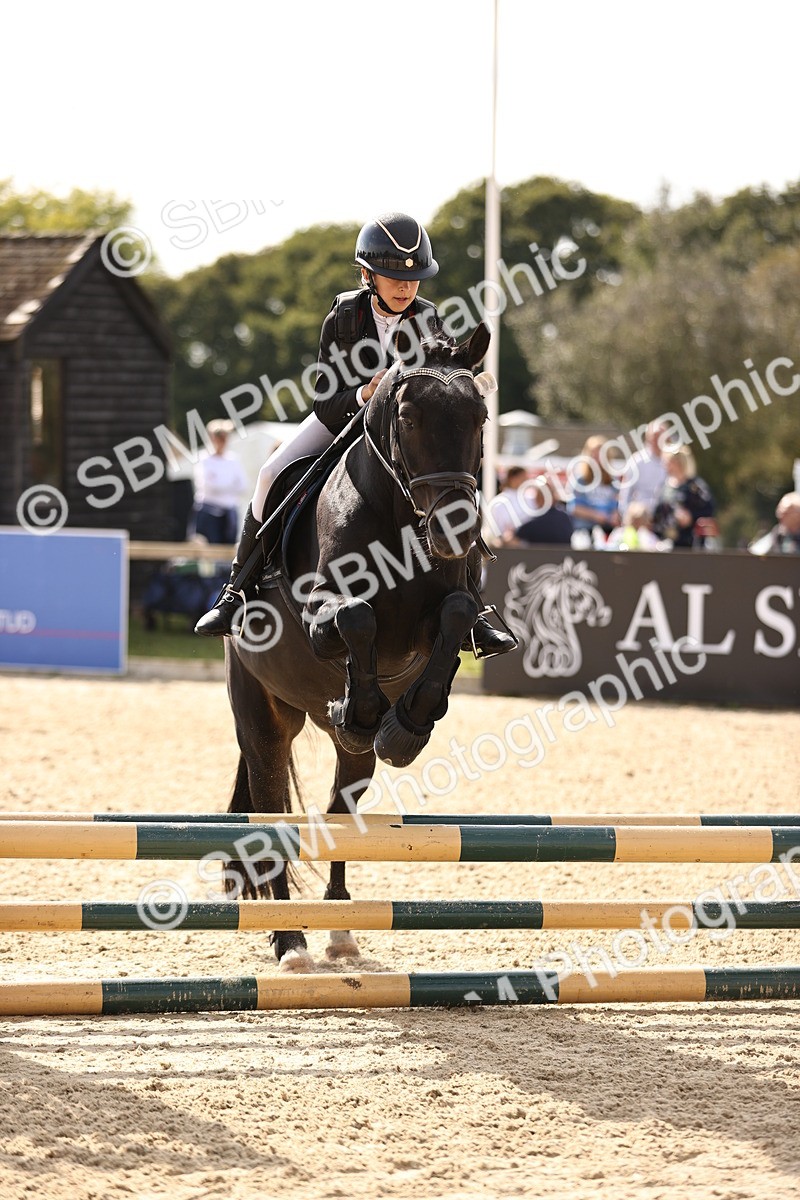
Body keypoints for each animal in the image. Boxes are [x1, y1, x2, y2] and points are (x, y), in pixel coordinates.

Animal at [223, 321, 493, 970]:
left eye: (480, 417)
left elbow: (457, 618)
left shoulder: (448, 607)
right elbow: (356, 618)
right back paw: (290, 942)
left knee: (338, 811)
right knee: (273, 810)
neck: (398, 521)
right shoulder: (323, 616)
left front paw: (407, 724)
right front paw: (368, 709)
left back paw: (340, 929)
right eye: (410, 417)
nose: (456, 530)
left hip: (341, 758)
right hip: (262, 714)